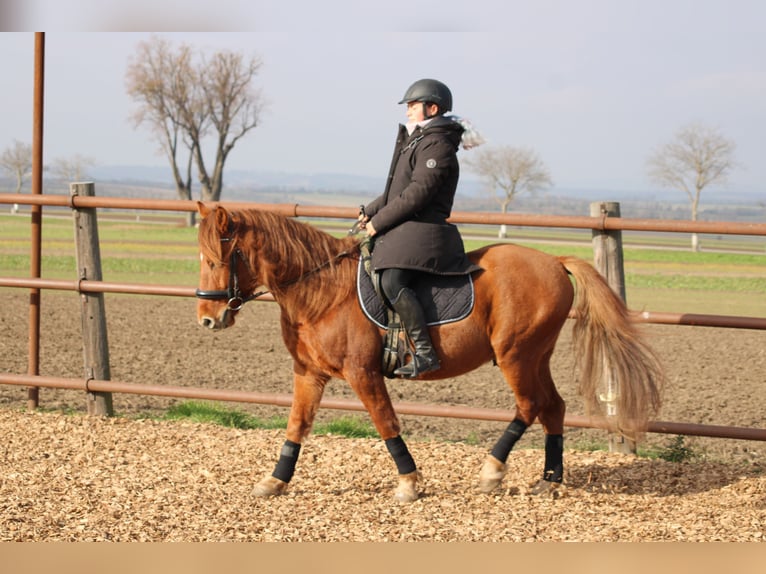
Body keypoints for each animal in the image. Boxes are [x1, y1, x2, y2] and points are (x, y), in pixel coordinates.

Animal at [196, 202, 664, 504]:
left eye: (218, 259)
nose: (207, 319)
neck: (322, 291)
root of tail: (553, 260)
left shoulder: (363, 373)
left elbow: (386, 423)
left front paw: (408, 483)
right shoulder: (308, 373)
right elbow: (297, 426)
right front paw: (273, 482)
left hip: (515, 354)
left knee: (531, 405)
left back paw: (492, 471)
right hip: (536, 355)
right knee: (553, 407)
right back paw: (550, 480)